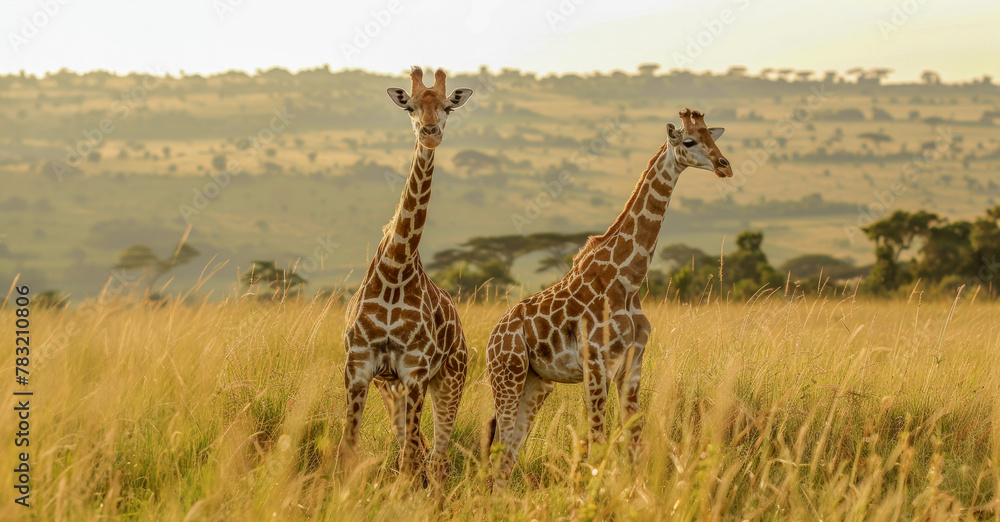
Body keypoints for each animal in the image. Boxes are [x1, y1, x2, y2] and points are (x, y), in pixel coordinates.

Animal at [338, 67, 474, 487]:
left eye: (448, 107)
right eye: (410, 107)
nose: (430, 132)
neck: (396, 269)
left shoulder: (416, 371)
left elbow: (413, 458)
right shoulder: (359, 368)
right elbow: (347, 448)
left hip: (450, 378)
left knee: (436, 456)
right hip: (391, 385)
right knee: (415, 448)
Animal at [485, 108, 732, 490]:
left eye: (712, 136)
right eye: (690, 141)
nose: (724, 165)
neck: (628, 280)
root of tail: (492, 337)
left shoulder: (633, 364)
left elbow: (634, 443)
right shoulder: (596, 365)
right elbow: (598, 445)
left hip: (536, 384)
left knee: (508, 451)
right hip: (506, 376)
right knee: (499, 445)